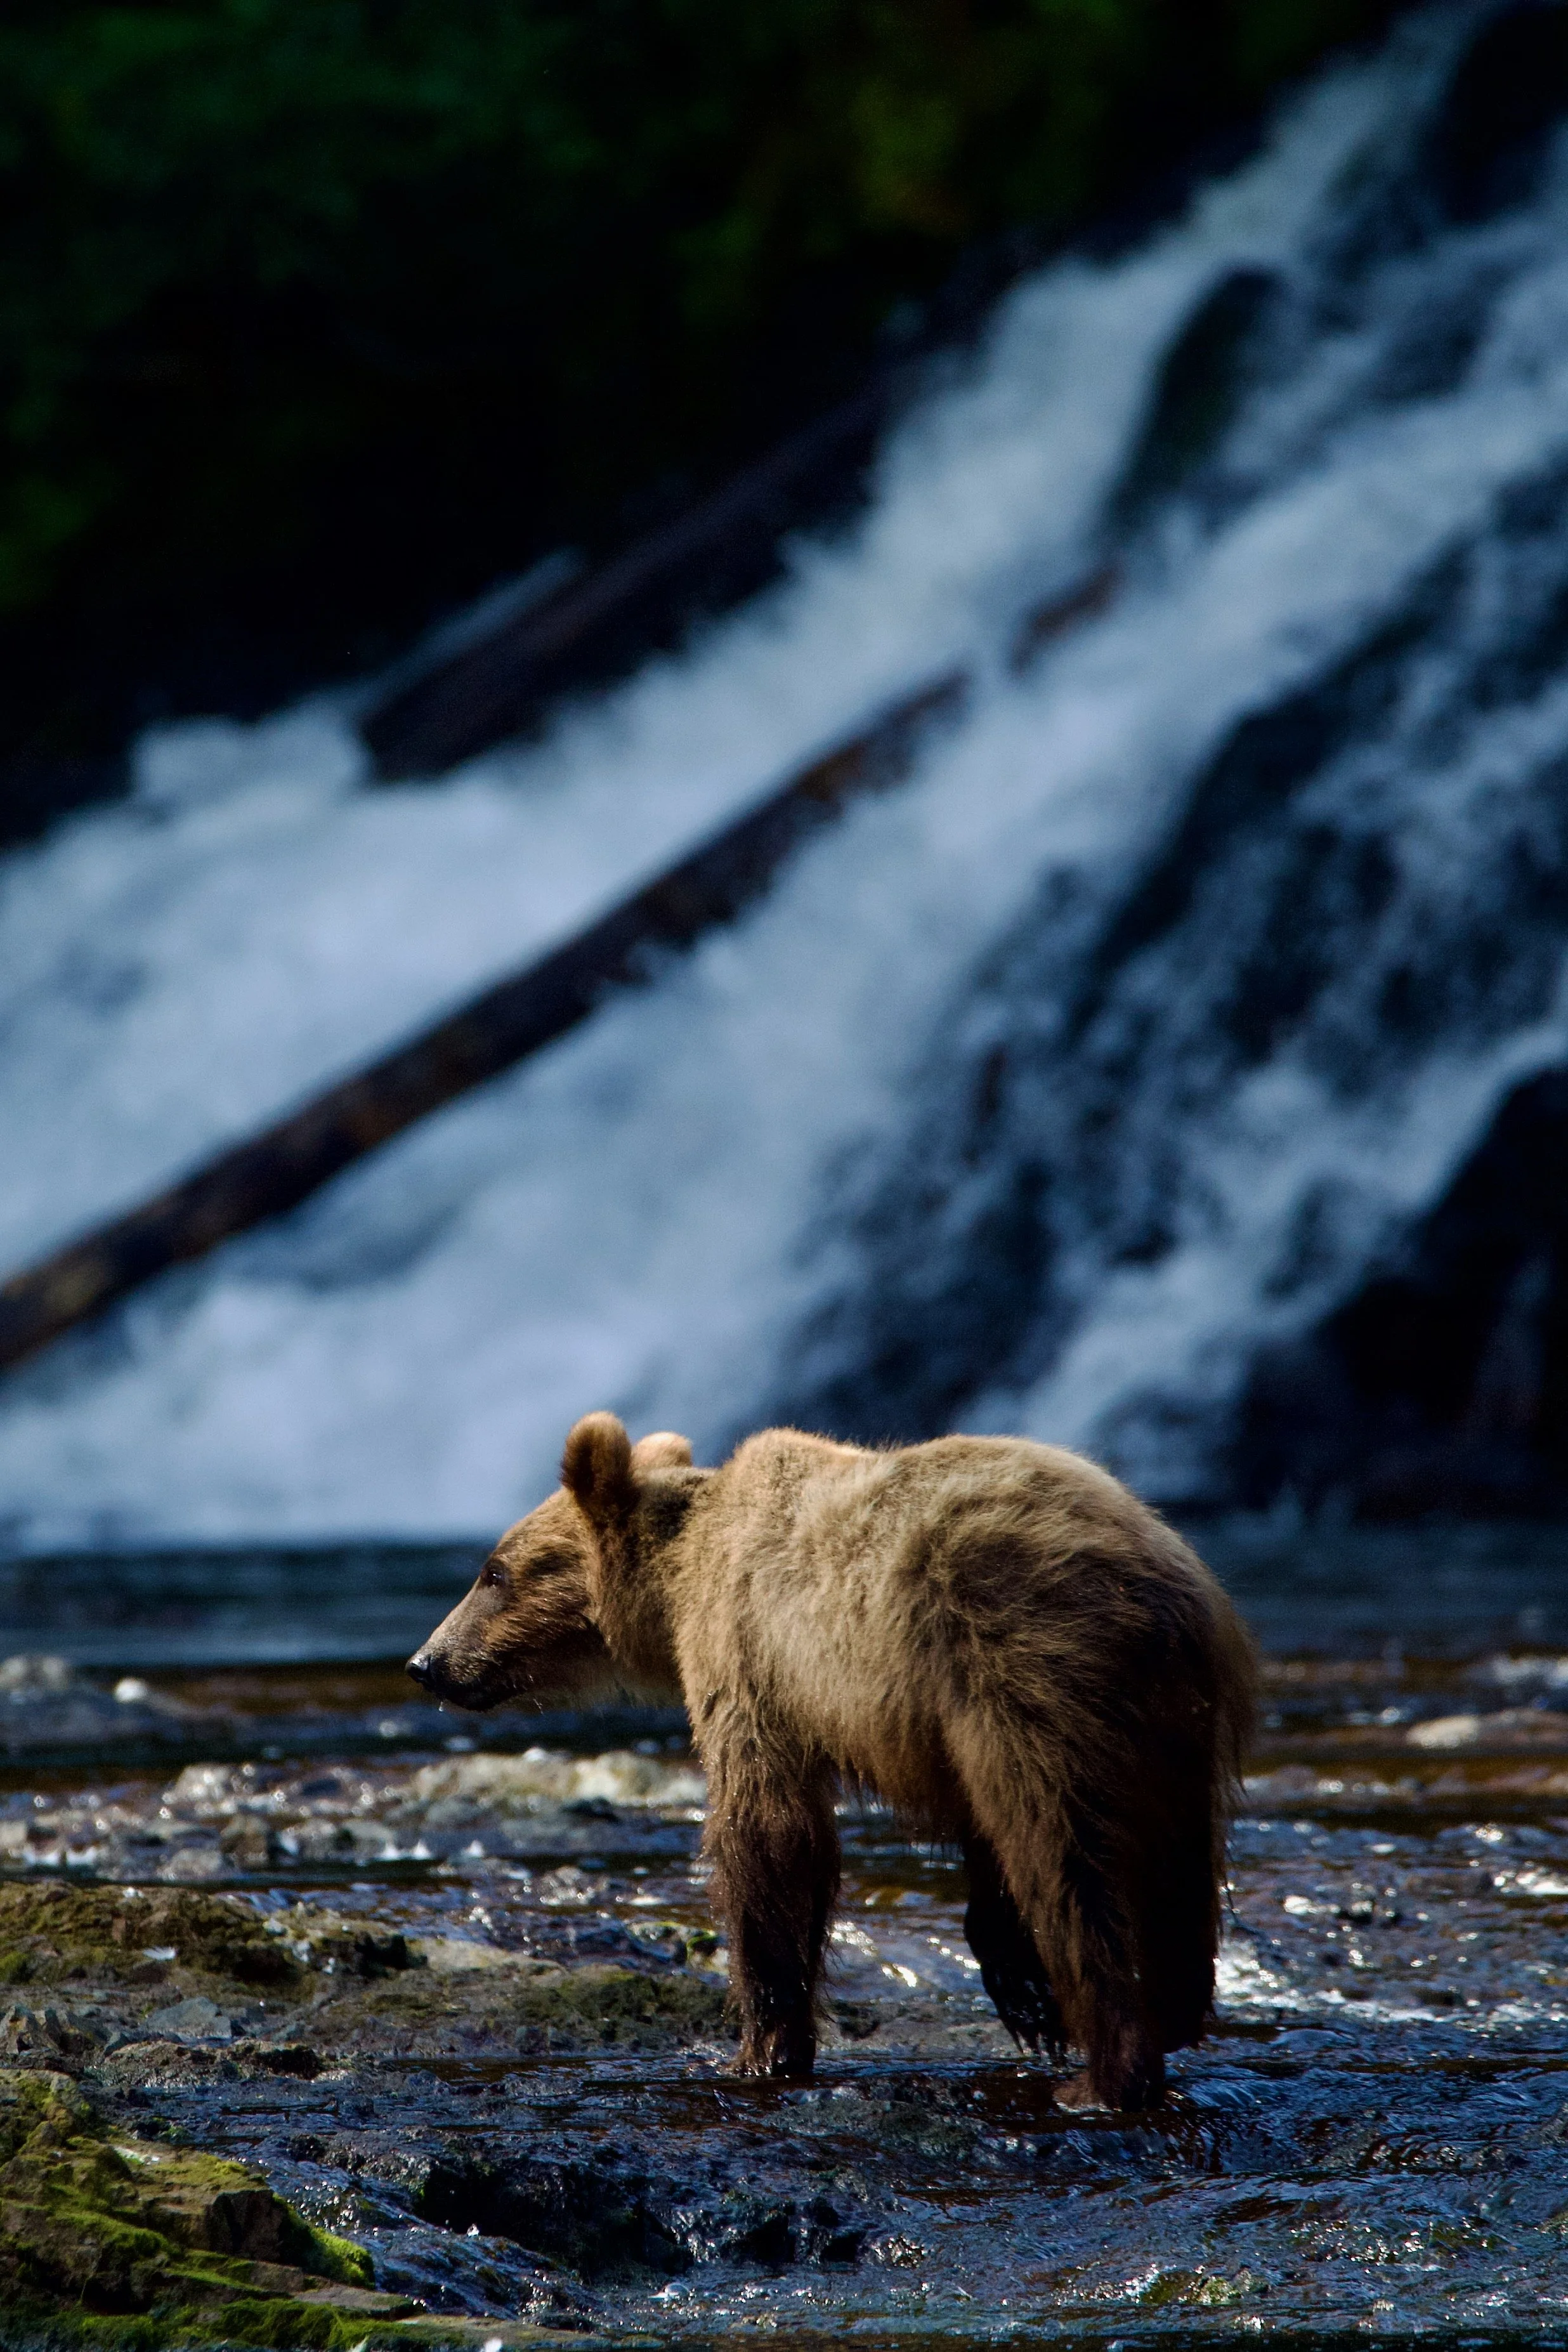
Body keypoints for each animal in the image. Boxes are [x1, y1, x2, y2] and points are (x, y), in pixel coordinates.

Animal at [407, 1415, 1256, 2109]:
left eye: (493, 1570)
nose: (427, 1663)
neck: (678, 1579)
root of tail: (1160, 1574)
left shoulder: (753, 1656)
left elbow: (769, 1836)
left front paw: (758, 2047)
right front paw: (1024, 1993)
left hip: (1027, 1665)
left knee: (1069, 1857)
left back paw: (1105, 2075)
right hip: (1175, 1722)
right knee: (1176, 1865)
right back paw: (1173, 2014)